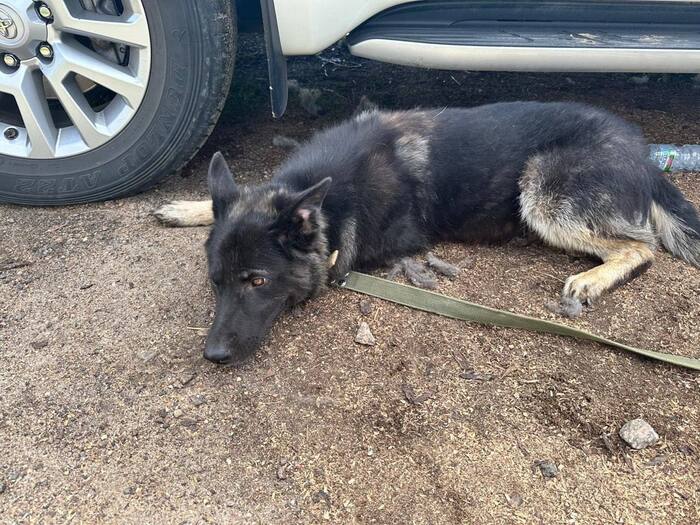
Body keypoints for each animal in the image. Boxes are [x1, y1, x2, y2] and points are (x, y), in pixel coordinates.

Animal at [154, 101, 700, 365]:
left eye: (257, 281)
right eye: (215, 282)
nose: (213, 356)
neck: (332, 194)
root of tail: (644, 154)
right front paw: (187, 207)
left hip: (541, 193)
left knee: (642, 247)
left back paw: (594, 278)